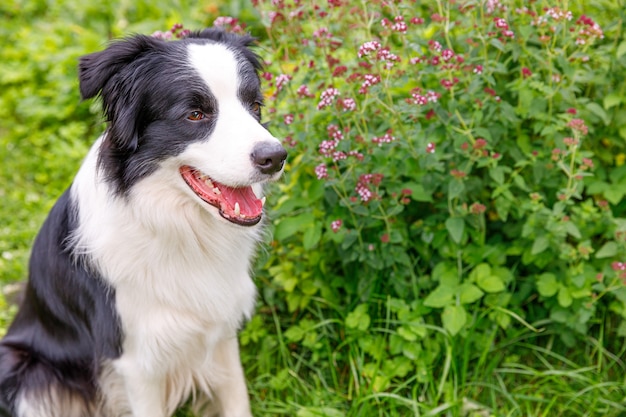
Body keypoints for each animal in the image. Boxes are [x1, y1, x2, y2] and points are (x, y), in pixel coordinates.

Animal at [0, 27, 286, 414]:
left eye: (254, 106)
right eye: (195, 114)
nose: (276, 157)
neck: (177, 229)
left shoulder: (220, 329)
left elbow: (237, 400)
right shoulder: (137, 360)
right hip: (26, 373)